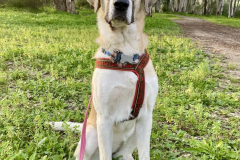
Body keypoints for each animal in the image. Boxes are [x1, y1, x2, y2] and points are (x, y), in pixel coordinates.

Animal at [49, 0, 158, 159]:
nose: (121, 4)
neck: (125, 54)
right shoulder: (104, 118)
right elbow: (105, 154)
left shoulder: (146, 116)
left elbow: (145, 154)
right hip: (91, 136)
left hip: (136, 131)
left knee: (124, 153)